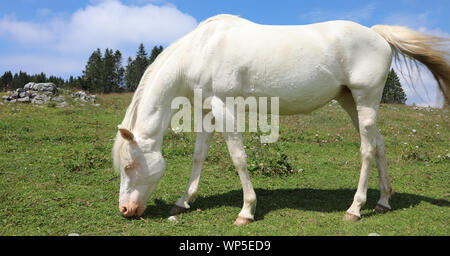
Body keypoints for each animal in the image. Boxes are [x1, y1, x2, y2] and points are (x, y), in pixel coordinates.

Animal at [111, 15, 446, 225]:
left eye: (129, 165)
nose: (126, 209)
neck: (201, 50)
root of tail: (377, 33)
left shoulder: (225, 106)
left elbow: (238, 157)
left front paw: (246, 211)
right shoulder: (208, 110)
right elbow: (198, 156)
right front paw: (184, 201)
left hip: (365, 100)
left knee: (367, 149)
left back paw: (355, 209)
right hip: (350, 101)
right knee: (379, 144)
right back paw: (384, 201)